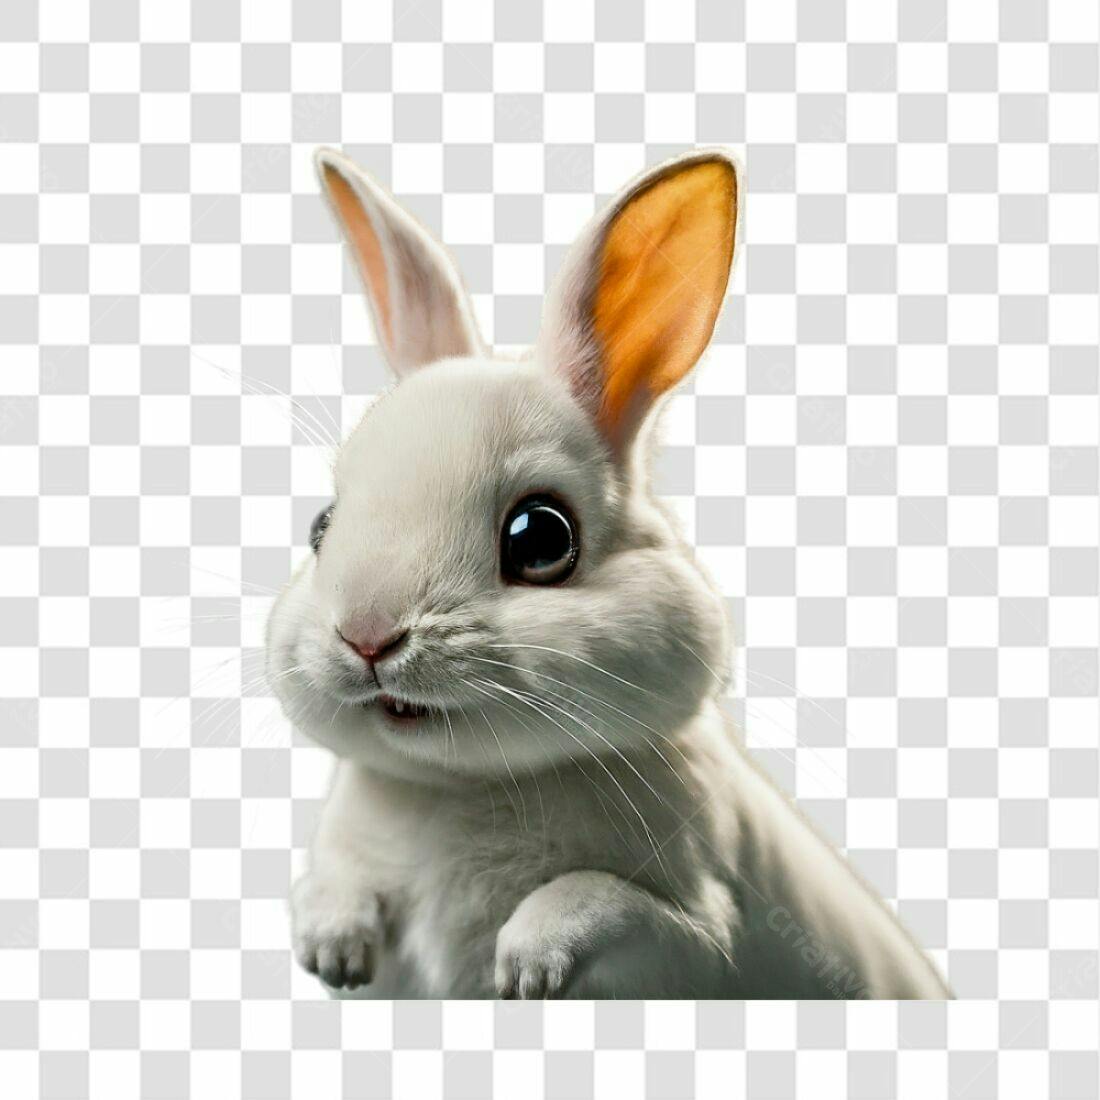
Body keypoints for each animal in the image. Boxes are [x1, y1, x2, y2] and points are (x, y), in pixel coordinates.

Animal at [266, 145, 952, 999]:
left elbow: (603, 901)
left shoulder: (700, 936)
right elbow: (327, 887)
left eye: (541, 537)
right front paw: (333, 947)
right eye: (322, 526)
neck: (469, 785)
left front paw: (526, 967)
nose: (366, 637)